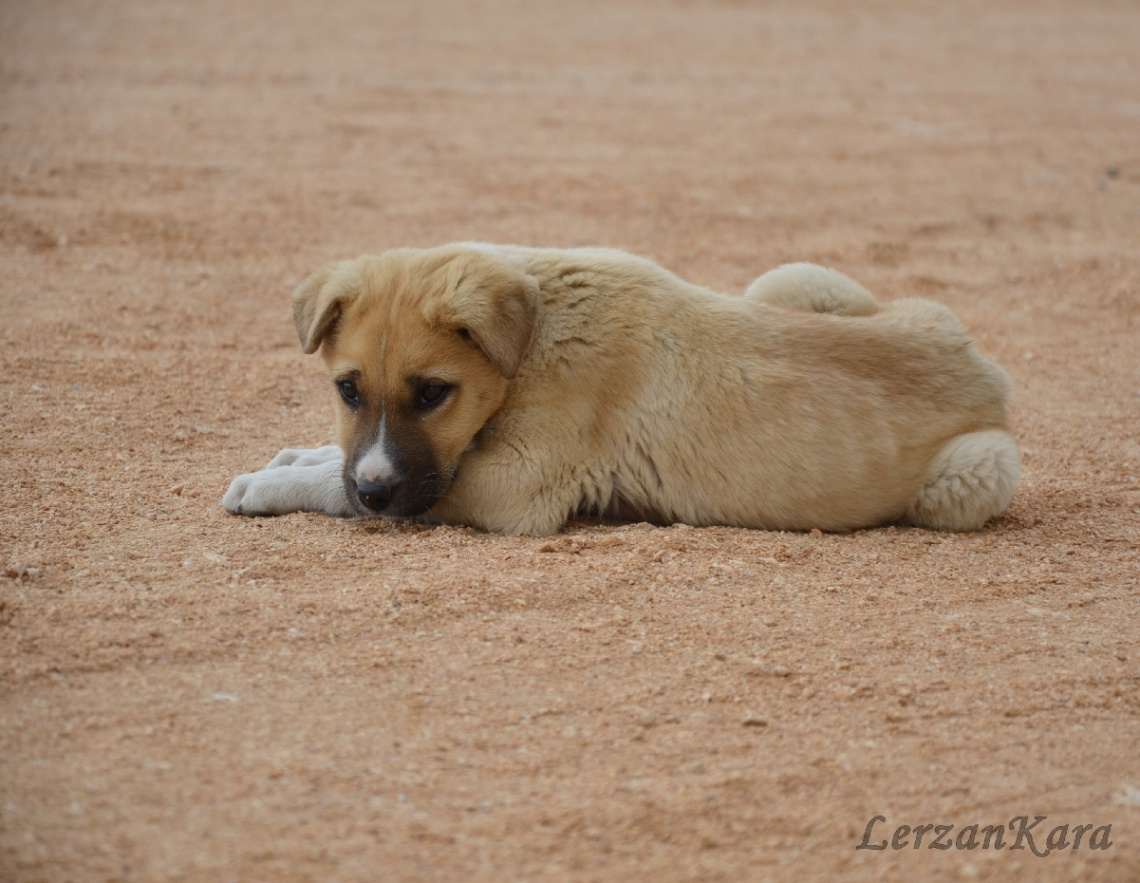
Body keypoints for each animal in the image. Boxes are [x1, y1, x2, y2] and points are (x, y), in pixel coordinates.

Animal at [220, 241, 1016, 535]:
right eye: (348, 389)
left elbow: (379, 488)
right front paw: (296, 459)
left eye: (433, 393)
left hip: (976, 475)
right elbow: (340, 460)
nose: (376, 489)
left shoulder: (513, 489)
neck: (536, 337)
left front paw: (274, 485)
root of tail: (984, 367)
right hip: (787, 280)